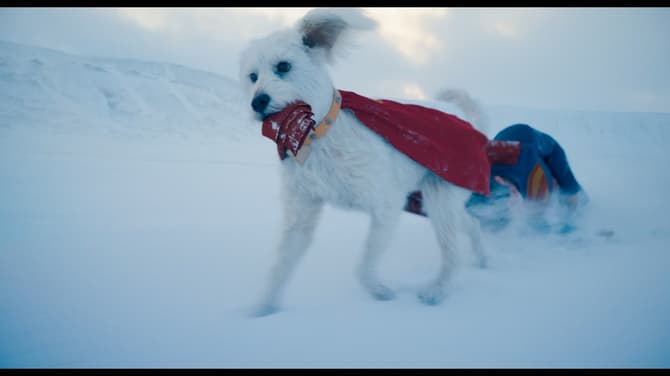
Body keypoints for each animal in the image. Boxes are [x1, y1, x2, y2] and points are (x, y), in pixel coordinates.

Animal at [242, 7, 488, 316]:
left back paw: (437, 291)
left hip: (441, 198)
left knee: (452, 251)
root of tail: (463, 116)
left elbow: (363, 267)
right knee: (471, 224)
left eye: (283, 66)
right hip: (439, 202)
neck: (316, 136)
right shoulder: (301, 212)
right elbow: (279, 268)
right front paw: (261, 309)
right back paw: (485, 260)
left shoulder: (387, 205)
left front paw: (380, 291)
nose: (257, 102)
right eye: (252, 76)